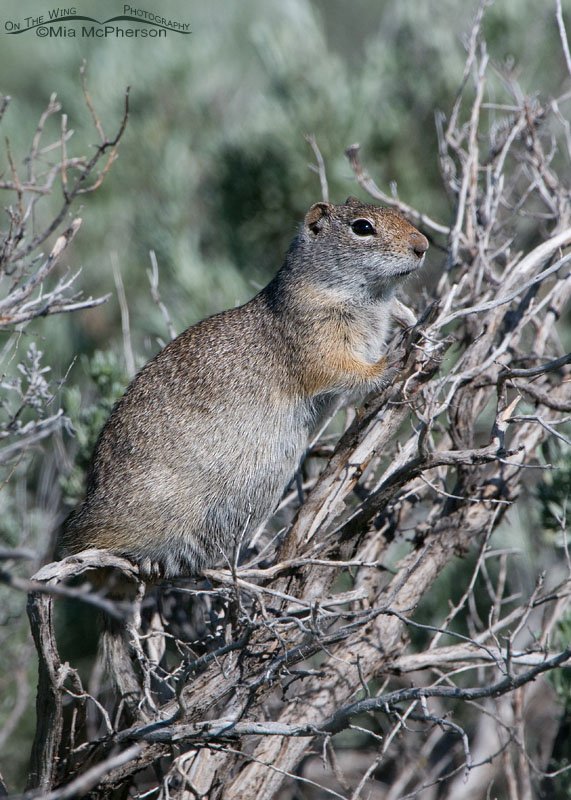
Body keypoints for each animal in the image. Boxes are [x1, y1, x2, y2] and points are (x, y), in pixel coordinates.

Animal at [58, 197, 428, 578]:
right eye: (362, 227)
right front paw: (393, 360)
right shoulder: (318, 342)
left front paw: (415, 328)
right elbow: (346, 370)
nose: (423, 245)